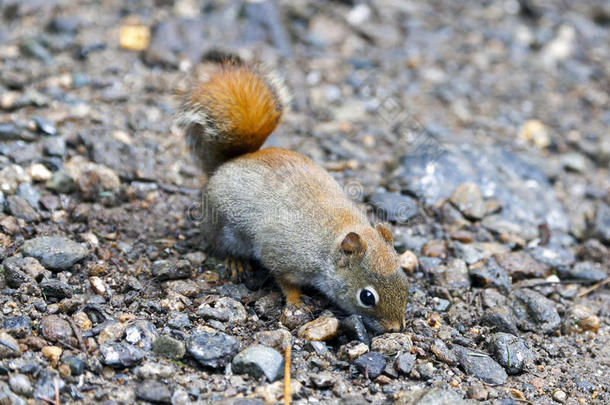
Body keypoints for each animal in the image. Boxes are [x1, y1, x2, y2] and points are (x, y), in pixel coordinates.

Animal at [173, 60, 406, 332]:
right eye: (367, 297)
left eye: (404, 278)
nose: (397, 328)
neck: (328, 244)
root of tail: (228, 163)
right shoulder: (281, 255)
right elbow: (285, 282)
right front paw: (296, 301)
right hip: (221, 226)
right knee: (221, 246)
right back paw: (236, 263)